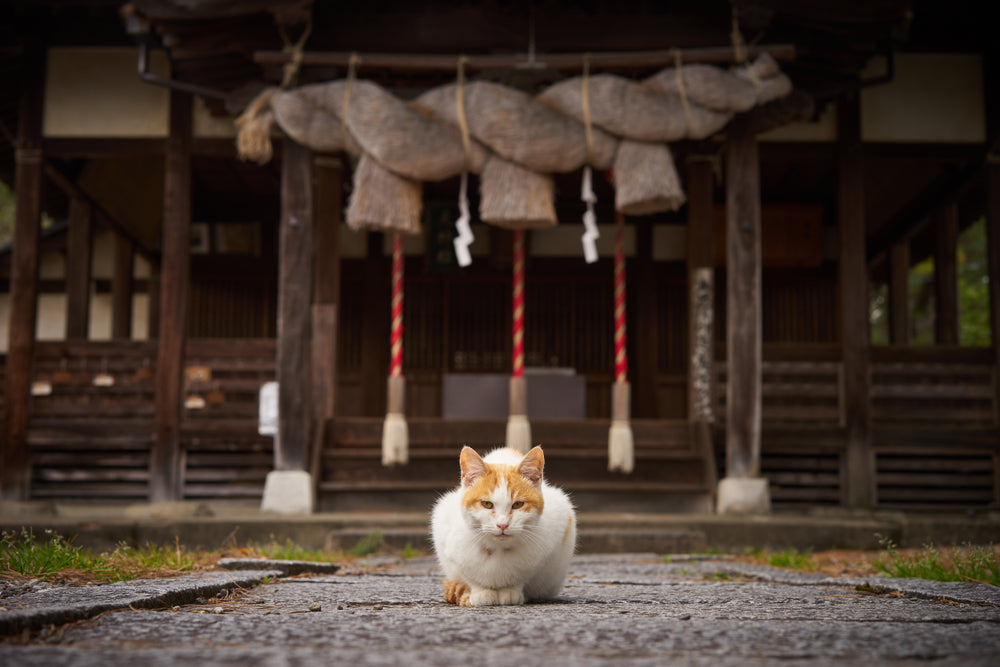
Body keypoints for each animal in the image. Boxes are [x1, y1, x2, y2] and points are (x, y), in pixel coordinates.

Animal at [430, 446, 580, 608]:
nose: (502, 524)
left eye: (518, 504)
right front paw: (481, 592)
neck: (498, 549)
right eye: (487, 504)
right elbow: (470, 576)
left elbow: (522, 577)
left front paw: (510, 591)